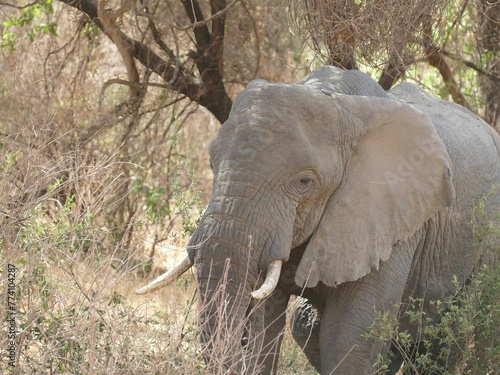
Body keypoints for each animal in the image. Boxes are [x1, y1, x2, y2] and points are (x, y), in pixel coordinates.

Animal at [137, 66, 500, 374]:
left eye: (304, 181)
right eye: (212, 164)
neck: (340, 104)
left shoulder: (393, 217)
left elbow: (350, 335)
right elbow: (265, 327)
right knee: (307, 324)